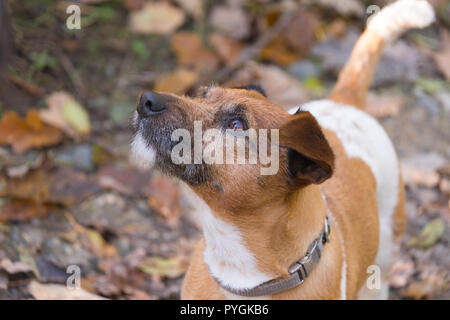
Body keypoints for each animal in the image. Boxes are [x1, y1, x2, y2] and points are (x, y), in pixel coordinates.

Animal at [132, 0, 434, 300]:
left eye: (237, 124)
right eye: (202, 94)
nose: (146, 100)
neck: (242, 275)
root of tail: (345, 101)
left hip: (385, 252)